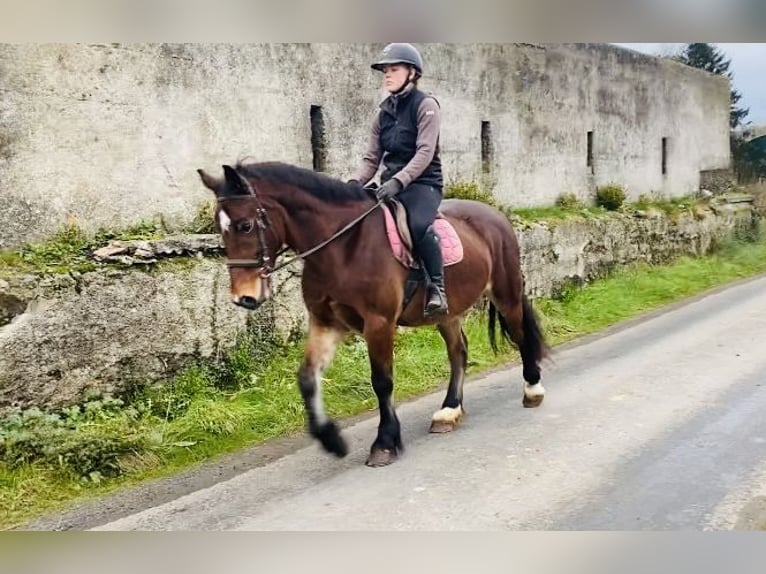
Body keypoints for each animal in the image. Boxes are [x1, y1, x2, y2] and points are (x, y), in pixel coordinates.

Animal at [195, 162, 548, 468]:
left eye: (245, 225)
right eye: (219, 230)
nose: (244, 297)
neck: (343, 246)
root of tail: (495, 214)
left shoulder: (378, 323)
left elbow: (382, 381)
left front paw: (385, 443)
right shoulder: (326, 323)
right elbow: (307, 378)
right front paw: (331, 439)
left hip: (505, 292)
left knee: (519, 333)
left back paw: (532, 390)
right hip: (448, 312)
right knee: (458, 351)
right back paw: (448, 411)